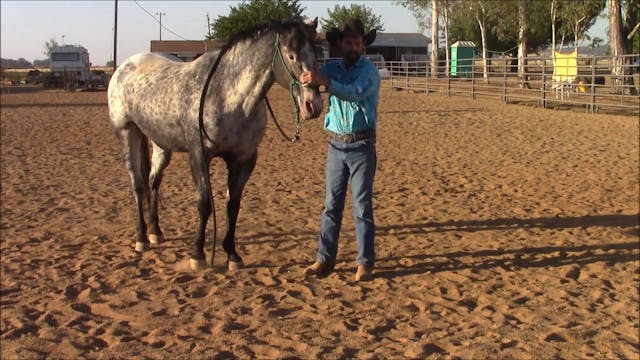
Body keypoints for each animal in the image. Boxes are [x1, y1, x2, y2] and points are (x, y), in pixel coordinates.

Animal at [108, 19, 324, 272]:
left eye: (316, 55)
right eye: (291, 55)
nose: (313, 105)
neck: (228, 96)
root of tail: (125, 66)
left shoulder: (244, 159)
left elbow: (233, 205)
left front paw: (232, 255)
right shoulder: (199, 156)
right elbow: (204, 204)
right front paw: (198, 256)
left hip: (160, 142)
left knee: (153, 181)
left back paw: (155, 232)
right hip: (127, 133)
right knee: (138, 185)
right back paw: (141, 238)